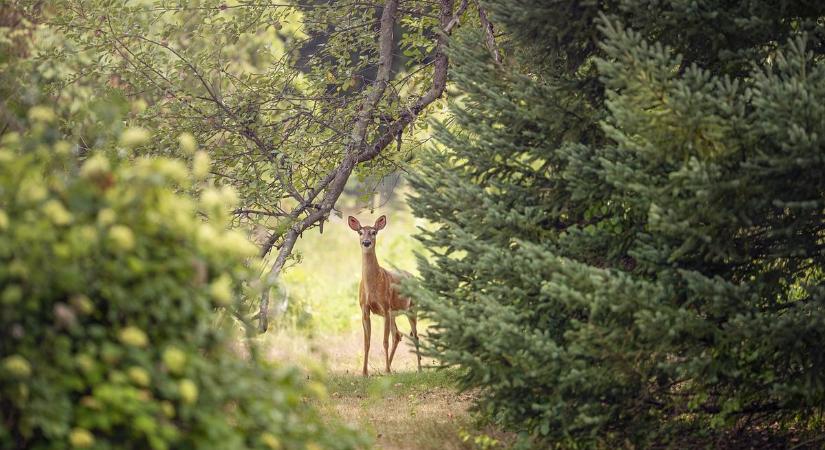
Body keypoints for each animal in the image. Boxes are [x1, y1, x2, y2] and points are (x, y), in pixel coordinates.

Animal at [346, 214, 422, 376]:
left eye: (374, 232)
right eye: (360, 232)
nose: (366, 242)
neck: (373, 285)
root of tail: (414, 277)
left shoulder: (385, 307)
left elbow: (384, 341)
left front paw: (386, 371)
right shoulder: (364, 309)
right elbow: (367, 342)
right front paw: (365, 373)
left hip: (412, 308)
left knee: (415, 336)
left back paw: (418, 369)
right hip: (394, 314)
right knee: (398, 335)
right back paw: (388, 367)